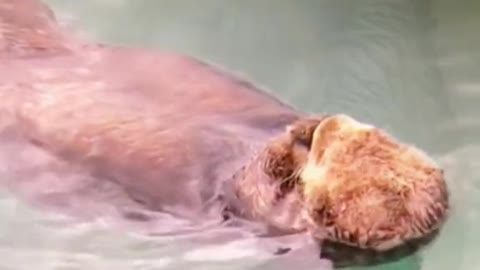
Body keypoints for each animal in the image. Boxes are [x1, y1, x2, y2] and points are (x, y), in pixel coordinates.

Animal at [0, 0, 450, 266]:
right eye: (360, 133)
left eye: (327, 154)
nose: (330, 124)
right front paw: (301, 126)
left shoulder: (263, 208)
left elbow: (262, 182)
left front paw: (290, 145)